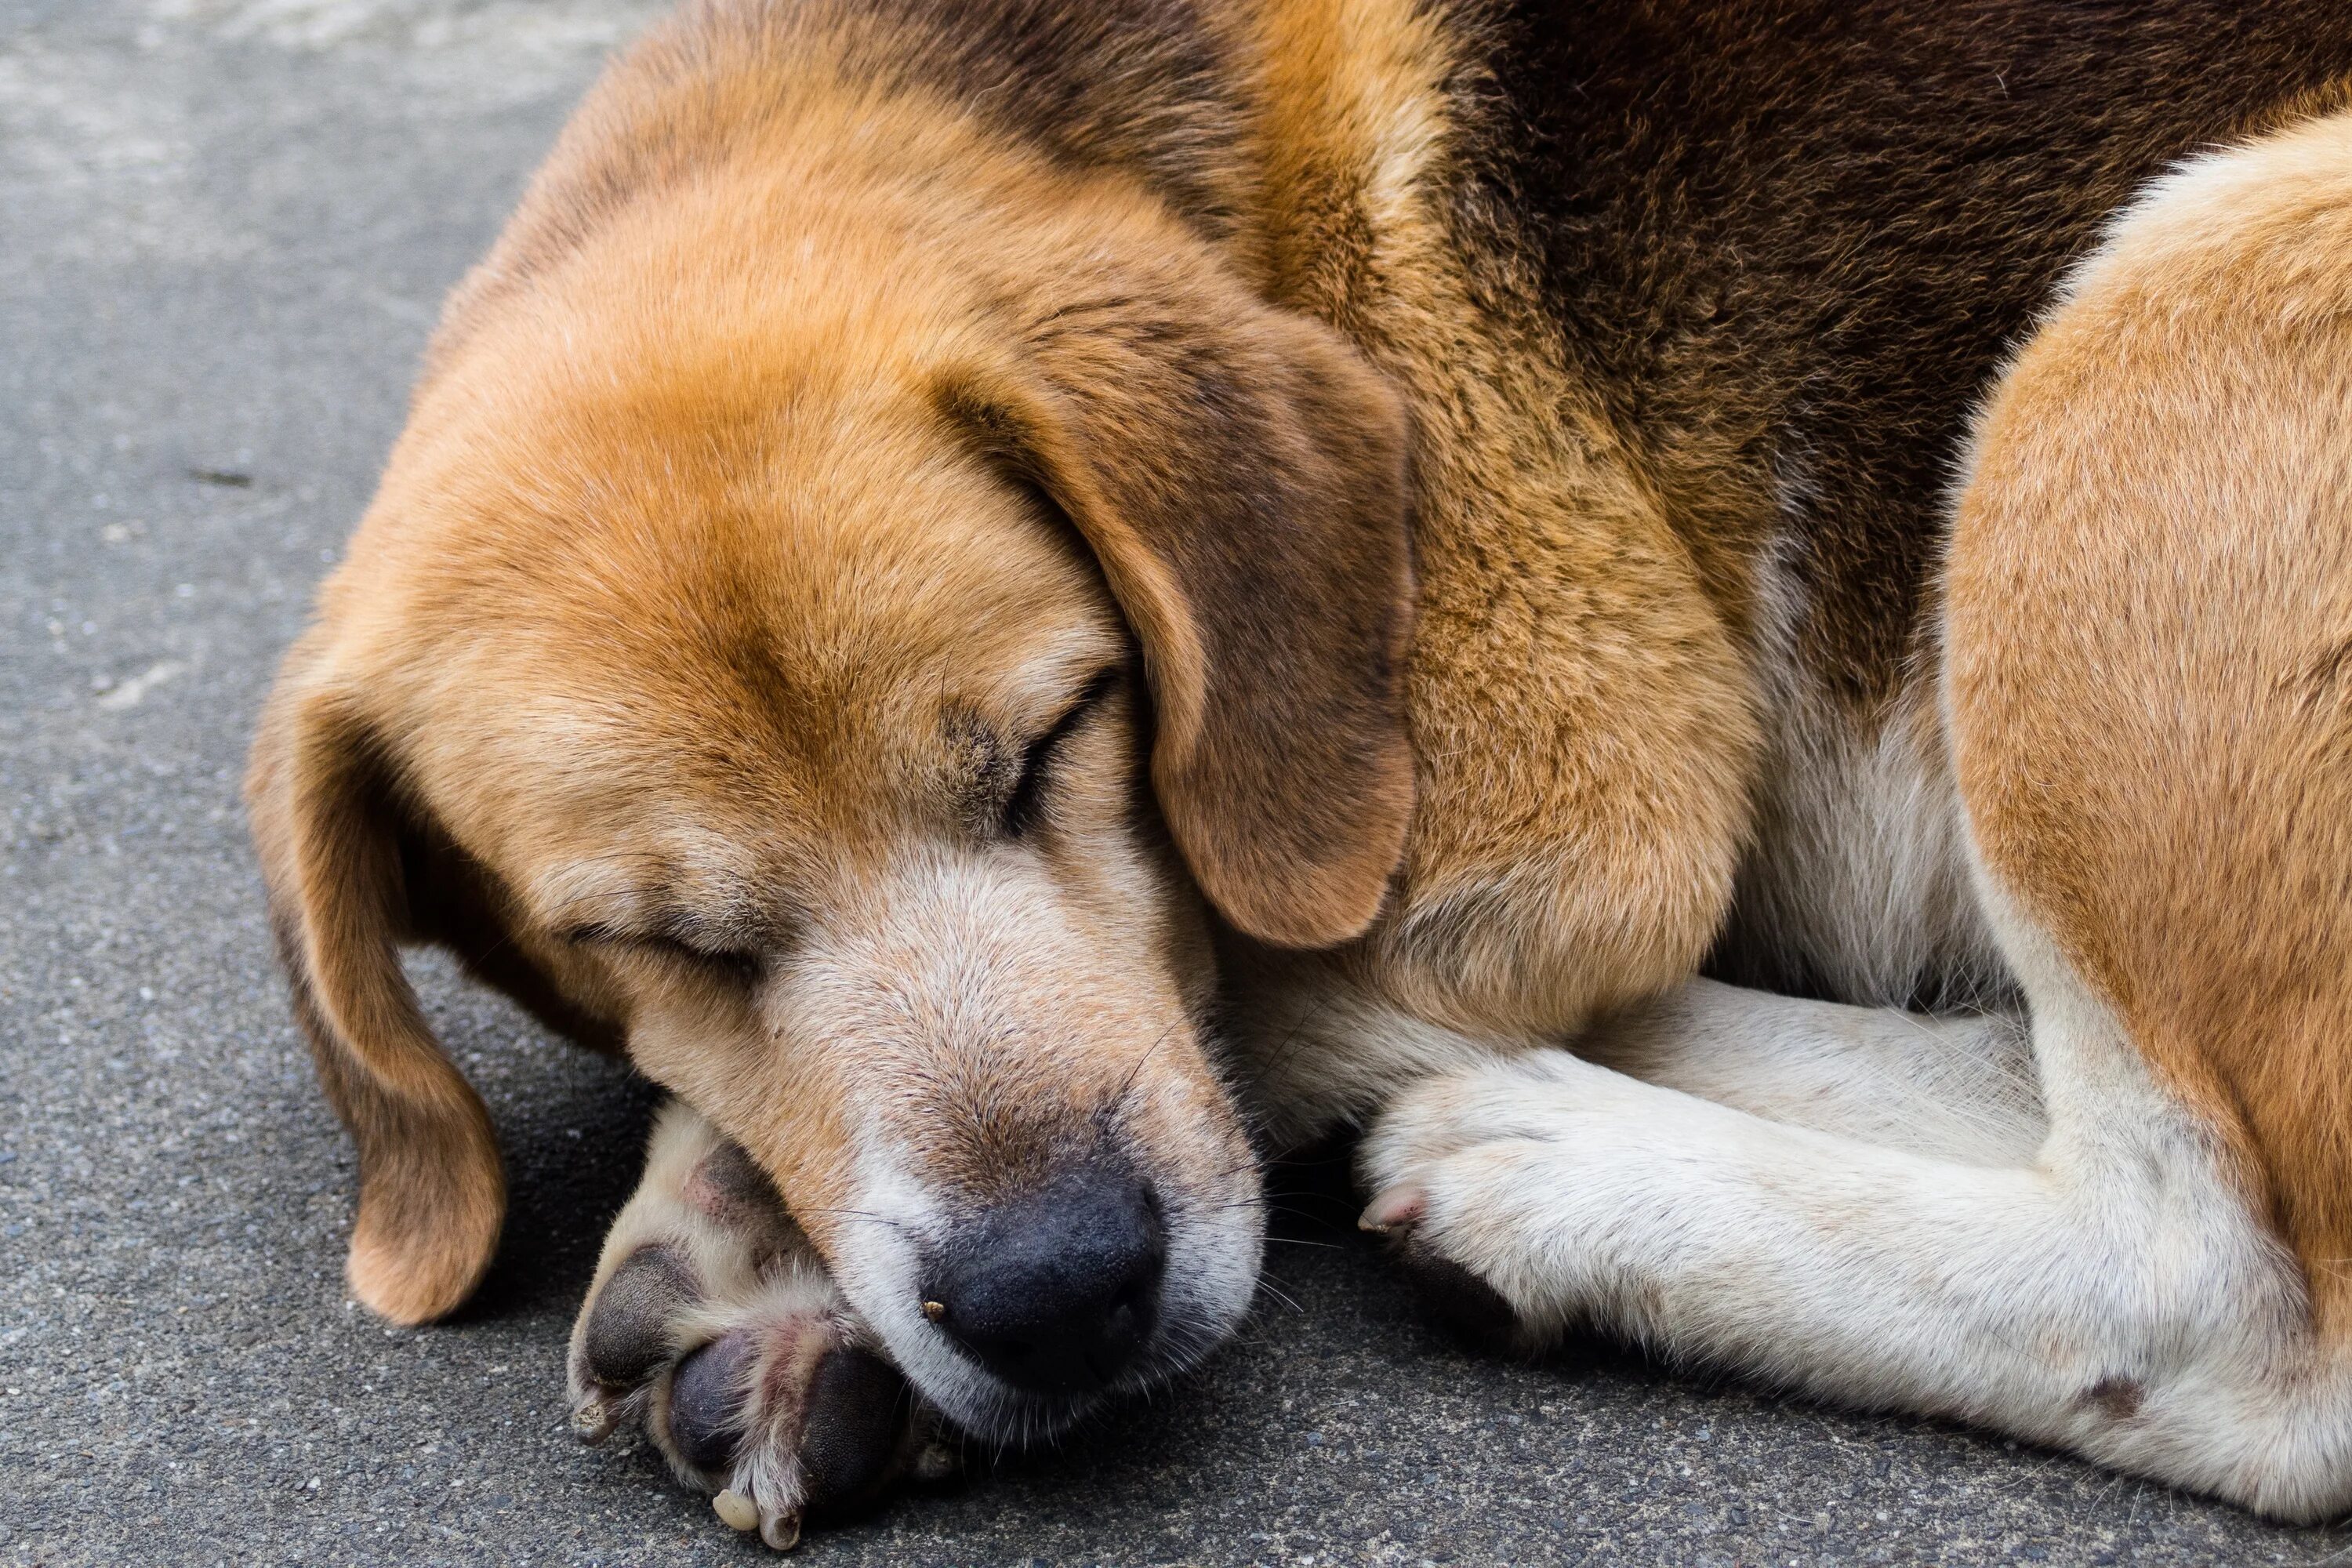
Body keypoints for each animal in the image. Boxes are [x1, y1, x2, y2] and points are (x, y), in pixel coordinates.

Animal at [243, 0, 2352, 1542]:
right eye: (651, 942)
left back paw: (1566, 1181)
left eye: (1054, 742)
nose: (1058, 1291)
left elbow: (1224, 955)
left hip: (2152, 318)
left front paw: (758, 1231)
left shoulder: (1574, 834)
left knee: (2218, 1296)